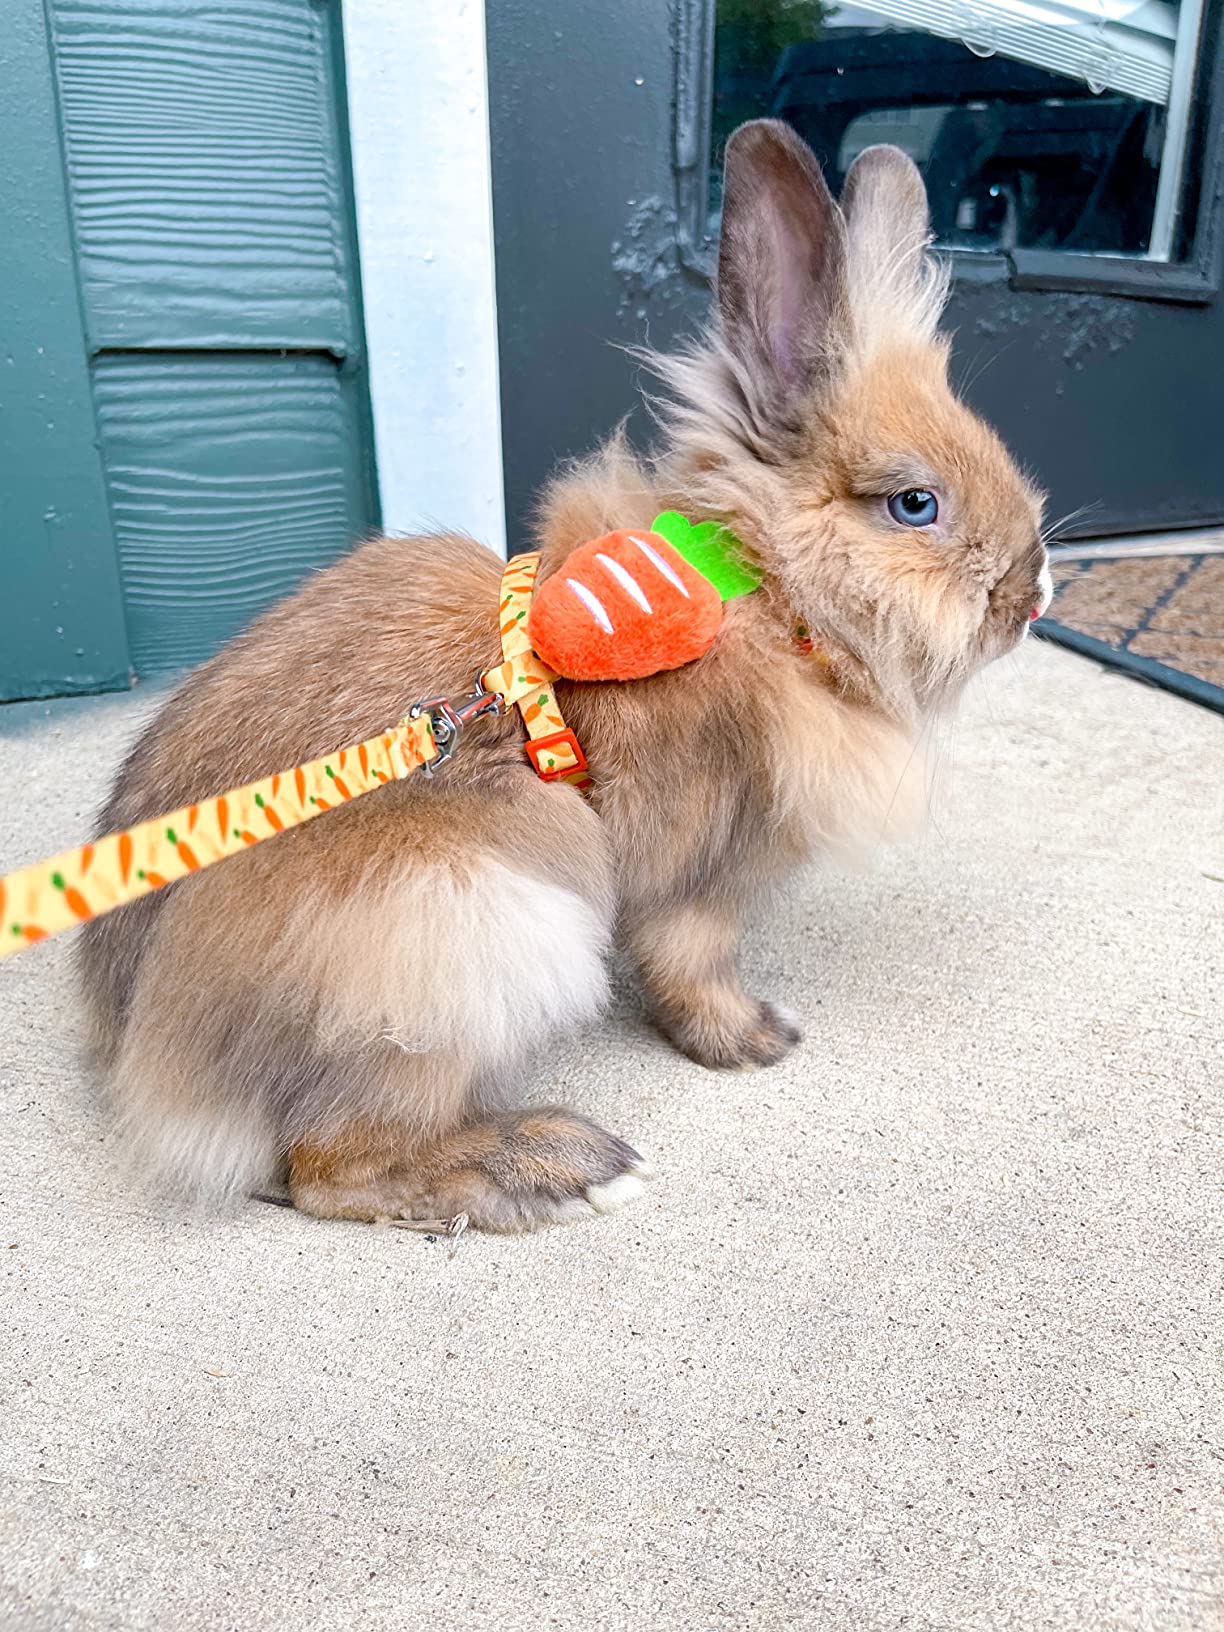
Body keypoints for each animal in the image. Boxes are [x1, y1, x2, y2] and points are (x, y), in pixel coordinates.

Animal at [77, 120, 1052, 1232]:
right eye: (914, 505)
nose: (1032, 595)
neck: (762, 592)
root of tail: (146, 1058)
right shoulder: (699, 877)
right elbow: (691, 966)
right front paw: (757, 1040)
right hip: (476, 924)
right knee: (332, 1166)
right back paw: (548, 1164)